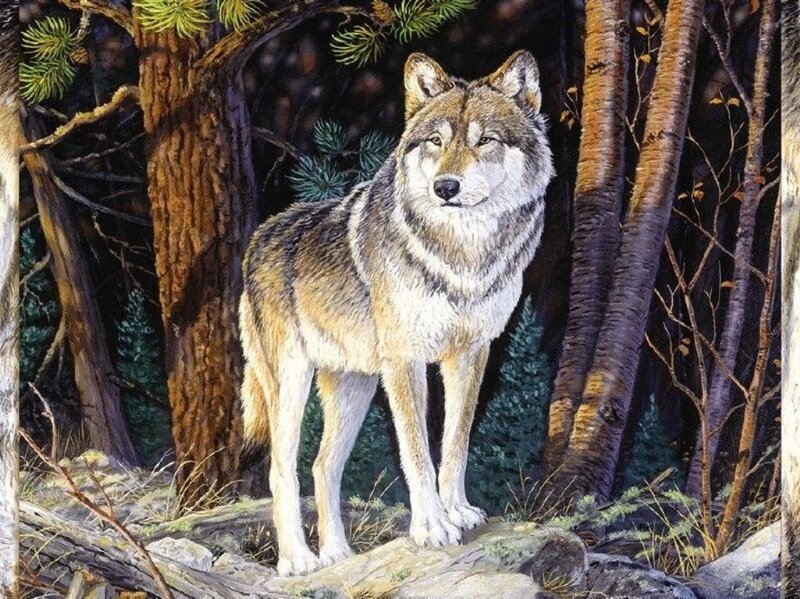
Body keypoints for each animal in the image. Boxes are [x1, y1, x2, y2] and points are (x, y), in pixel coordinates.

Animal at [240, 49, 555, 576]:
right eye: (436, 141)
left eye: (485, 140)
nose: (446, 186)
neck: (463, 256)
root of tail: (260, 236)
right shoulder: (406, 361)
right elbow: (417, 453)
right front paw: (431, 528)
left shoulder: (472, 352)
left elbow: (456, 442)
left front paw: (458, 511)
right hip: (292, 382)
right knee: (282, 469)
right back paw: (299, 561)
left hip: (356, 387)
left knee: (323, 466)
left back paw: (338, 555)